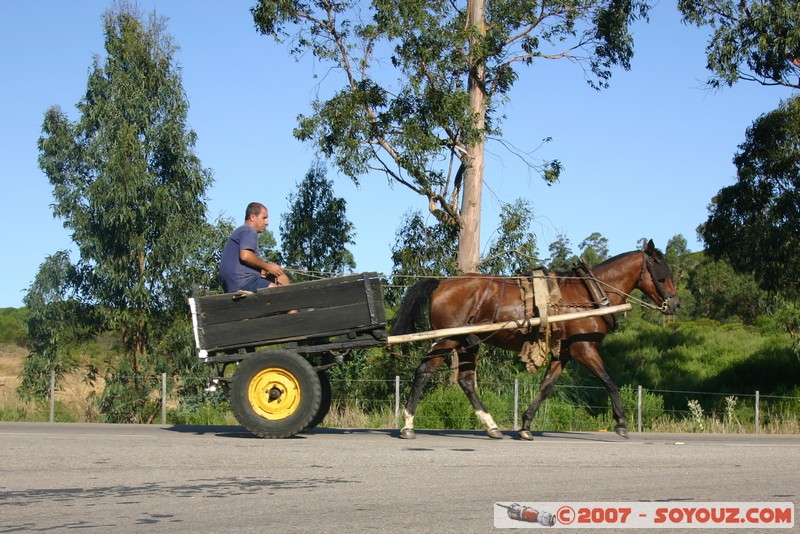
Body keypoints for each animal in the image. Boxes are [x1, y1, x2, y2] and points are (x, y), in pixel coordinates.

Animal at [390, 241, 680, 442]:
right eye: (662, 273)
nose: (676, 304)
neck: (590, 294)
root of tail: (442, 283)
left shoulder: (564, 353)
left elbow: (546, 387)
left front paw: (526, 426)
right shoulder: (584, 348)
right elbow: (609, 381)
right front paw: (620, 422)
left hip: (467, 343)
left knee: (466, 381)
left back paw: (492, 427)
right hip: (447, 338)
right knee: (423, 372)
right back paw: (407, 425)